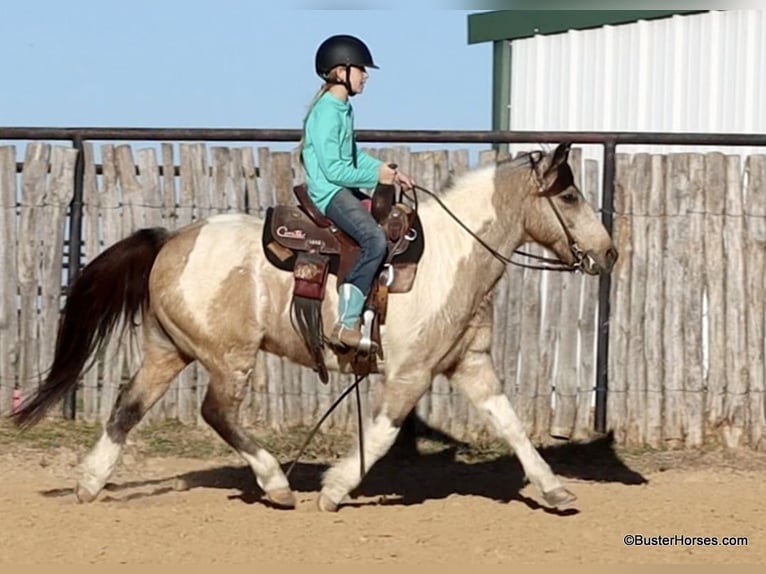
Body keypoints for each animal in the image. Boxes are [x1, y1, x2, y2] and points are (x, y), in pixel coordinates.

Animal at [11, 141, 617, 511]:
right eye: (568, 195)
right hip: (228, 357)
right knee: (216, 412)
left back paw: (90, 483)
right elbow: (382, 432)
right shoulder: (411, 372)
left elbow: (510, 423)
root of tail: (169, 240)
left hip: (168, 350)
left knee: (128, 407)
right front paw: (336, 487)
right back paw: (277, 484)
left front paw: (554, 489)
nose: (610, 253)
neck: (452, 252)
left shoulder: (470, 364)